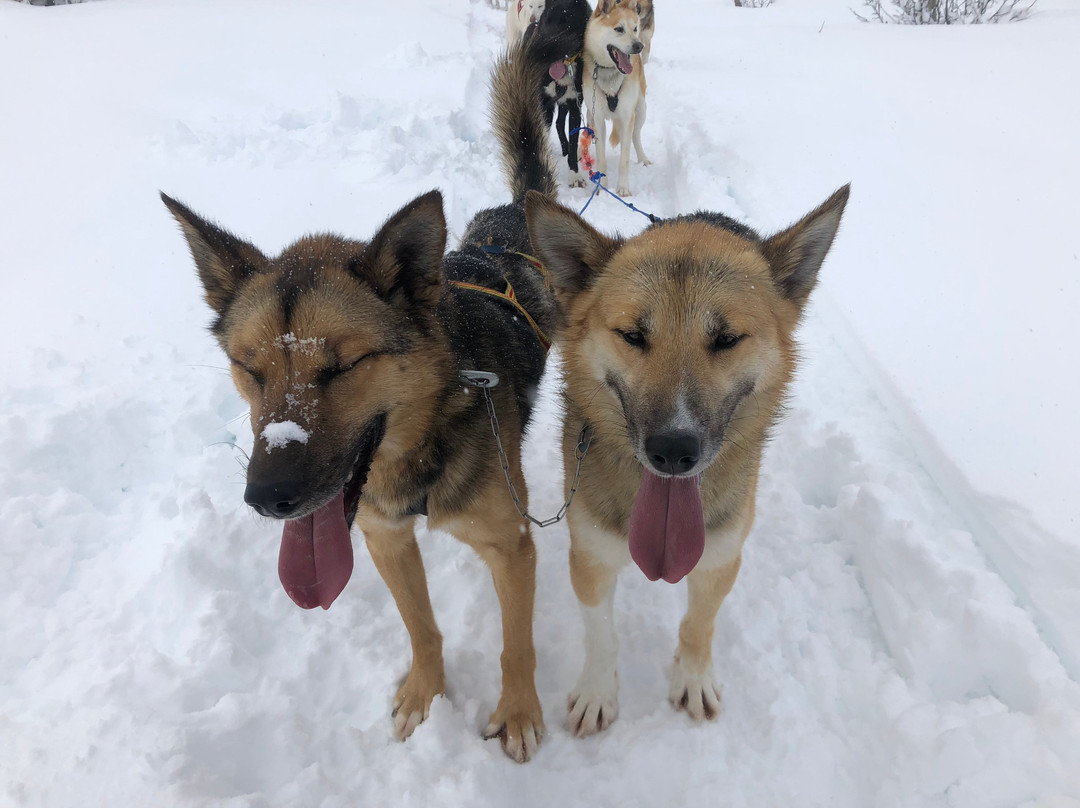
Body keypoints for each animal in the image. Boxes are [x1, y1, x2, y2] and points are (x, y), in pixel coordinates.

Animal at [160, 33, 574, 764]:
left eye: (344, 366)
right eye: (247, 367)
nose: (268, 498)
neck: (419, 455)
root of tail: (506, 219)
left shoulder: (513, 546)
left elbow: (515, 646)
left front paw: (520, 713)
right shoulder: (384, 539)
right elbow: (422, 629)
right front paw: (424, 695)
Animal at [524, 184, 851, 738]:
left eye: (726, 339)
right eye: (633, 335)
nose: (673, 451)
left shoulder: (720, 556)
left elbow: (699, 625)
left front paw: (693, 679)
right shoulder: (589, 554)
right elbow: (601, 632)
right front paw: (597, 692)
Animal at [583, 0, 648, 196]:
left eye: (635, 28)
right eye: (619, 29)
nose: (639, 46)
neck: (610, 73)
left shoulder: (627, 116)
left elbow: (624, 158)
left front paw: (623, 188)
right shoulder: (597, 118)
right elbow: (601, 157)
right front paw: (601, 187)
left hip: (641, 111)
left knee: (636, 136)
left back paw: (643, 159)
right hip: (590, 115)